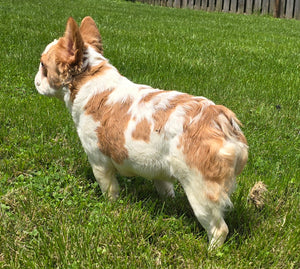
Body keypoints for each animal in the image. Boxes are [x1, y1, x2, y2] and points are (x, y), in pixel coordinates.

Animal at [34, 16, 248, 247]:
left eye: (43, 65)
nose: (35, 80)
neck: (90, 80)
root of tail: (221, 120)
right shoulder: (158, 169)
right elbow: (165, 188)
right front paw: (168, 203)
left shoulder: (99, 161)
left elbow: (109, 189)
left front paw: (110, 207)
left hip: (200, 189)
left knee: (219, 228)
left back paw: (211, 250)